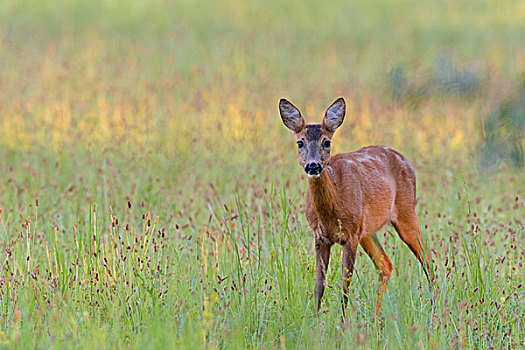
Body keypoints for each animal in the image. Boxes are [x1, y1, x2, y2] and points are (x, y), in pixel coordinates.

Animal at [278, 97, 430, 316]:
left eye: (327, 142)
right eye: (300, 142)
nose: (313, 166)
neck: (329, 211)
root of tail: (406, 161)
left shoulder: (350, 236)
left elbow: (345, 285)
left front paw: (342, 321)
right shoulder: (320, 236)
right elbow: (319, 286)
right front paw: (313, 321)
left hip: (405, 210)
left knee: (426, 258)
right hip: (367, 230)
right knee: (386, 265)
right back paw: (375, 317)